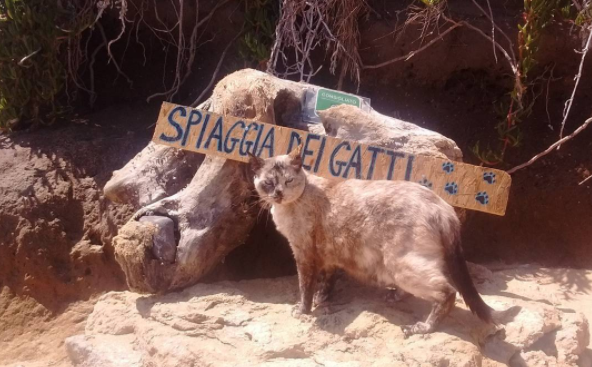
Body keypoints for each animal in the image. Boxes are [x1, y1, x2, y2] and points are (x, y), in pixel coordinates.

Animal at [250, 146, 494, 336]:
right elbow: (326, 283)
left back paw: (422, 327)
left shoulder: (304, 254)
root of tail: (443, 207)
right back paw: (393, 297)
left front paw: (303, 310)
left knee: (448, 292)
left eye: (288, 181)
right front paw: (322, 299)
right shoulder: (329, 255)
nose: (278, 194)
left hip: (401, 266)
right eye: (269, 183)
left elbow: (305, 288)